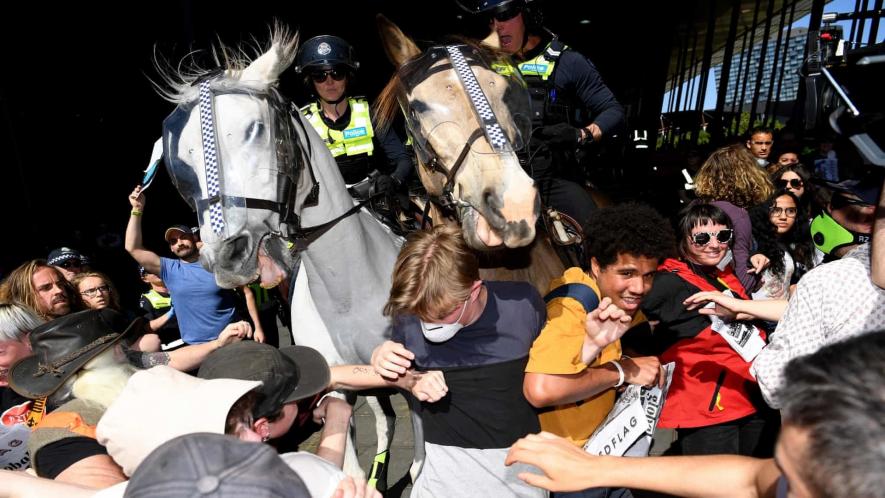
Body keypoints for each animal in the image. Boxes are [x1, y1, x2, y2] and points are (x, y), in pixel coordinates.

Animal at [156, 26, 418, 482]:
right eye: (183, 160)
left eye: (257, 129)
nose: (227, 255)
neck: (350, 292)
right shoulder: (340, 386)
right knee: (384, 419)